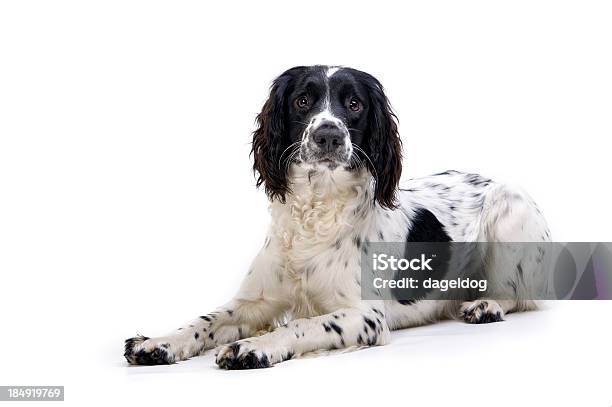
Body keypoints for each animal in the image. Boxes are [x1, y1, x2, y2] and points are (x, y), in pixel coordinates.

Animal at [123, 66, 548, 370]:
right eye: (302, 100)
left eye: (355, 104)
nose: (328, 134)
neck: (316, 211)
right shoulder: (257, 300)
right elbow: (204, 320)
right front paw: (158, 342)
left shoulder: (365, 316)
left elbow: (300, 324)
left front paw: (254, 346)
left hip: (509, 211)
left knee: (520, 294)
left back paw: (486, 305)